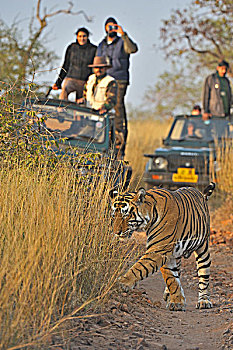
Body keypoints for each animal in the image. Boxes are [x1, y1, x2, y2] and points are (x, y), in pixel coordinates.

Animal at [110, 182, 216, 310]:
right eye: (113, 215)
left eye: (126, 215)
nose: (116, 232)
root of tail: (200, 193)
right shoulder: (167, 254)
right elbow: (172, 279)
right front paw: (177, 301)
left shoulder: (159, 249)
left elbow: (138, 268)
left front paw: (122, 283)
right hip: (177, 254)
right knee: (178, 271)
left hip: (203, 249)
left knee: (203, 277)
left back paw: (204, 301)